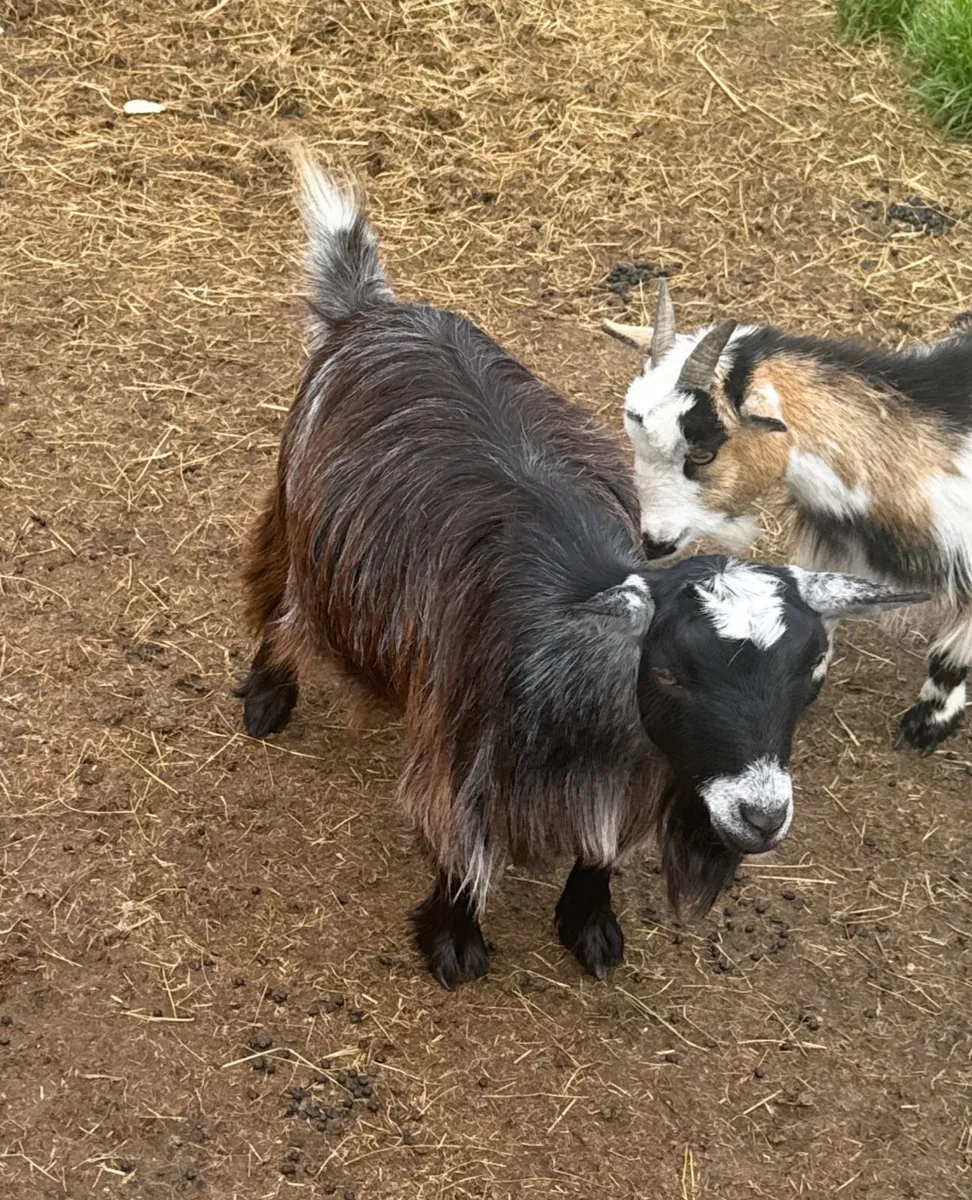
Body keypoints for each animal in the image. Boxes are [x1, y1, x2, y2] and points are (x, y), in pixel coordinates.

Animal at [236, 158, 926, 987]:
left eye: (810, 676)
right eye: (671, 673)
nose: (760, 817)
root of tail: (373, 311)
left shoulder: (644, 771)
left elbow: (601, 845)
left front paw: (591, 921)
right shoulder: (463, 749)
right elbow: (462, 848)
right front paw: (453, 939)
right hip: (298, 501)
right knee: (278, 592)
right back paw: (268, 692)